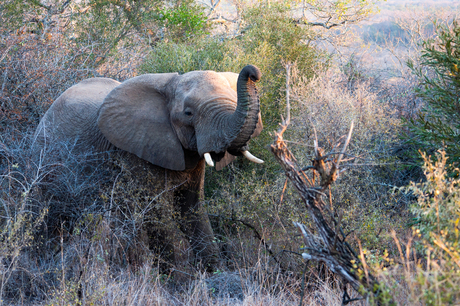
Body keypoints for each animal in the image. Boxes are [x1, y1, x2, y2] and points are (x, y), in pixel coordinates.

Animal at [34, 64, 264, 268]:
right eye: (188, 113)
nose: (253, 72)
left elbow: (193, 210)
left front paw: (214, 274)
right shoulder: (135, 153)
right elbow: (157, 214)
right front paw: (184, 280)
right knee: (51, 217)